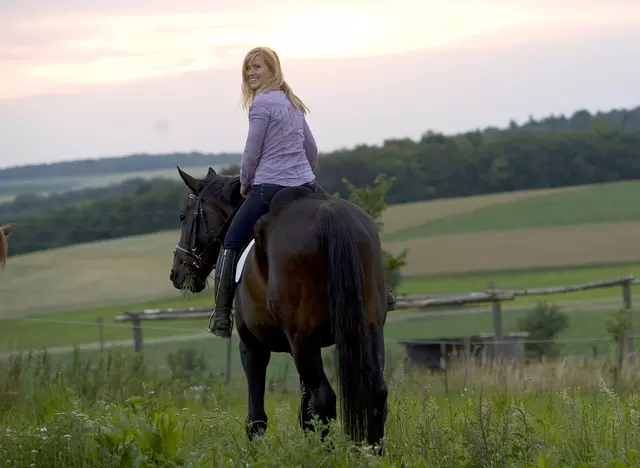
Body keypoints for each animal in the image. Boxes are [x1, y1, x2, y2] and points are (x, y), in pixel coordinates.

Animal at [170, 167, 388, 450]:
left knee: (325, 399)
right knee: (375, 393)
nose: (176, 274)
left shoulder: (253, 346)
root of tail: (330, 214)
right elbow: (305, 414)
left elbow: (256, 418)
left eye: (183, 216)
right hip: (367, 329)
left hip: (301, 340)